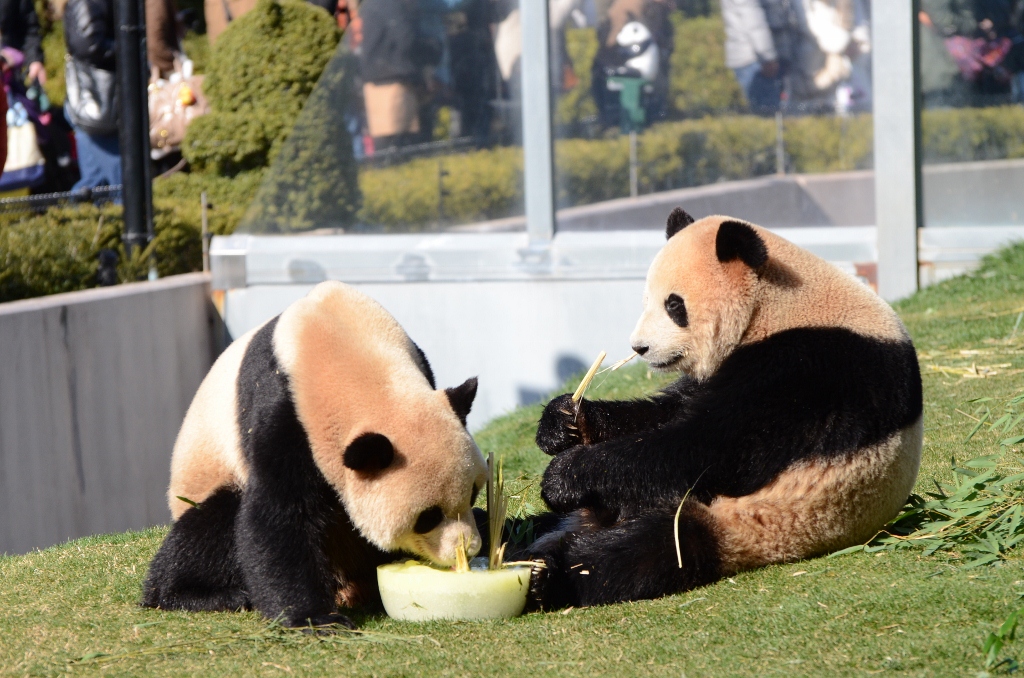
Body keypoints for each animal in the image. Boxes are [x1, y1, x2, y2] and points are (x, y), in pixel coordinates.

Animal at [141, 280, 487, 626]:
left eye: (472, 494)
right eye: (428, 517)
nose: (466, 550)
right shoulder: (285, 414)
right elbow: (278, 514)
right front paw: (317, 619)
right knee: (210, 529)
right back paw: (196, 594)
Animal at [524, 210, 925, 610]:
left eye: (674, 305)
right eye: (647, 300)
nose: (639, 348)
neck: (780, 305)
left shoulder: (811, 369)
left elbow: (713, 447)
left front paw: (566, 475)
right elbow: (667, 412)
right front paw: (564, 421)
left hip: (754, 522)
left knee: (649, 549)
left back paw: (548, 576)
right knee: (546, 527)